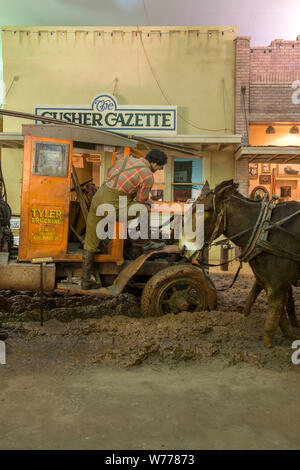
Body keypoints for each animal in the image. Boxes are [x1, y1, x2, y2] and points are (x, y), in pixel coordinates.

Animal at [179, 178, 298, 346]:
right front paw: (291, 337)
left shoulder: (277, 284)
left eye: (204, 211)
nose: (183, 248)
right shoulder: (268, 281)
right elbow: (278, 314)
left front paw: (269, 345)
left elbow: (273, 317)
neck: (264, 230)